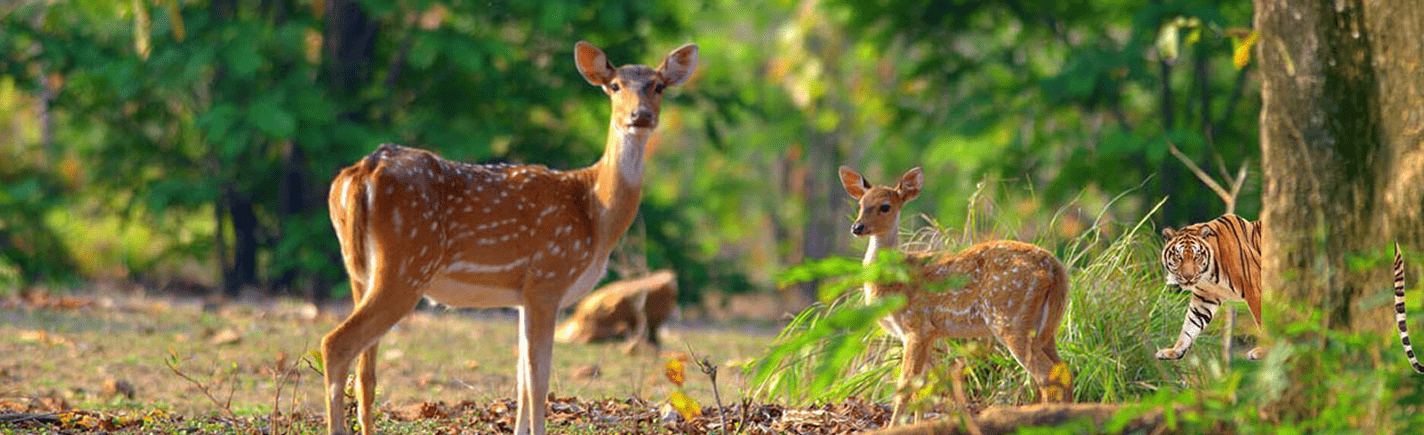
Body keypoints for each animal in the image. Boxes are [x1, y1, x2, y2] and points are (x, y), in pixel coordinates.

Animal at [324, 41, 700, 433]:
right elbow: (538, 378)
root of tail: (362, 172)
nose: (640, 115)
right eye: (615, 86)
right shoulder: (549, 276)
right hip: (406, 264)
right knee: (336, 344)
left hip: (359, 269)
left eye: (659, 86)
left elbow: (521, 377)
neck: (596, 212)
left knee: (365, 369)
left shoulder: (523, 294)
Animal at [831, 164, 1070, 422]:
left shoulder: (916, 326)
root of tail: (1055, 269)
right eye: (860, 204)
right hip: (1046, 326)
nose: (857, 227)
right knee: (1063, 369)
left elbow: (905, 385)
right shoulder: (927, 334)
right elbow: (923, 388)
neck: (895, 280)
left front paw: (894, 425)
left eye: (885, 206)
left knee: (1046, 374)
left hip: (1010, 319)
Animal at [1156, 212, 1270, 359]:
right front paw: (1174, 351)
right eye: (1179, 257)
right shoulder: (1204, 298)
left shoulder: (1255, 288)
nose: (1188, 277)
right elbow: (1191, 325)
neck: (1208, 276)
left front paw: (1266, 350)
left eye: (1196, 256)